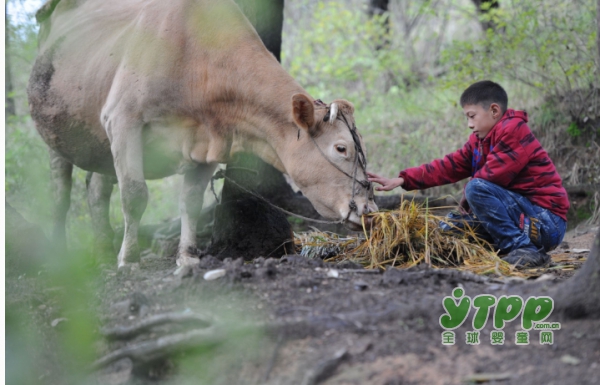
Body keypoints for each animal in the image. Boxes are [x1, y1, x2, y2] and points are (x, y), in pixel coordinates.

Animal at [28, 0, 378, 268]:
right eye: (341, 148)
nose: (369, 210)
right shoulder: (123, 118)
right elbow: (135, 195)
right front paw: (129, 259)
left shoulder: (211, 139)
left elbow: (191, 201)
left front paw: (187, 257)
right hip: (58, 133)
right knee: (60, 193)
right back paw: (61, 251)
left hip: (101, 142)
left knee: (97, 189)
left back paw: (102, 248)